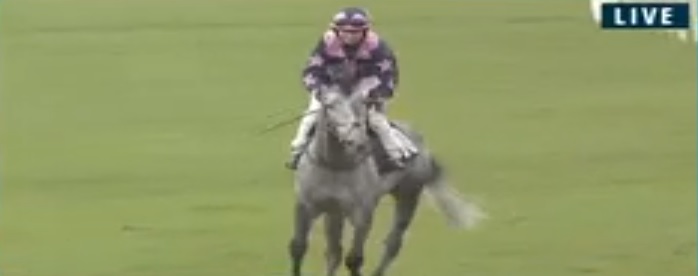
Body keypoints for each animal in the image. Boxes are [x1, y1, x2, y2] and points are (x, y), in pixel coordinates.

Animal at [288, 62, 484, 276]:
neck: (335, 165)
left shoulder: (363, 214)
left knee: (393, 244)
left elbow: (354, 259)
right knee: (334, 252)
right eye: (330, 106)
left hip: (408, 195)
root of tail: (422, 145)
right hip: (335, 212)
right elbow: (298, 247)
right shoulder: (307, 206)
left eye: (362, 105)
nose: (356, 141)